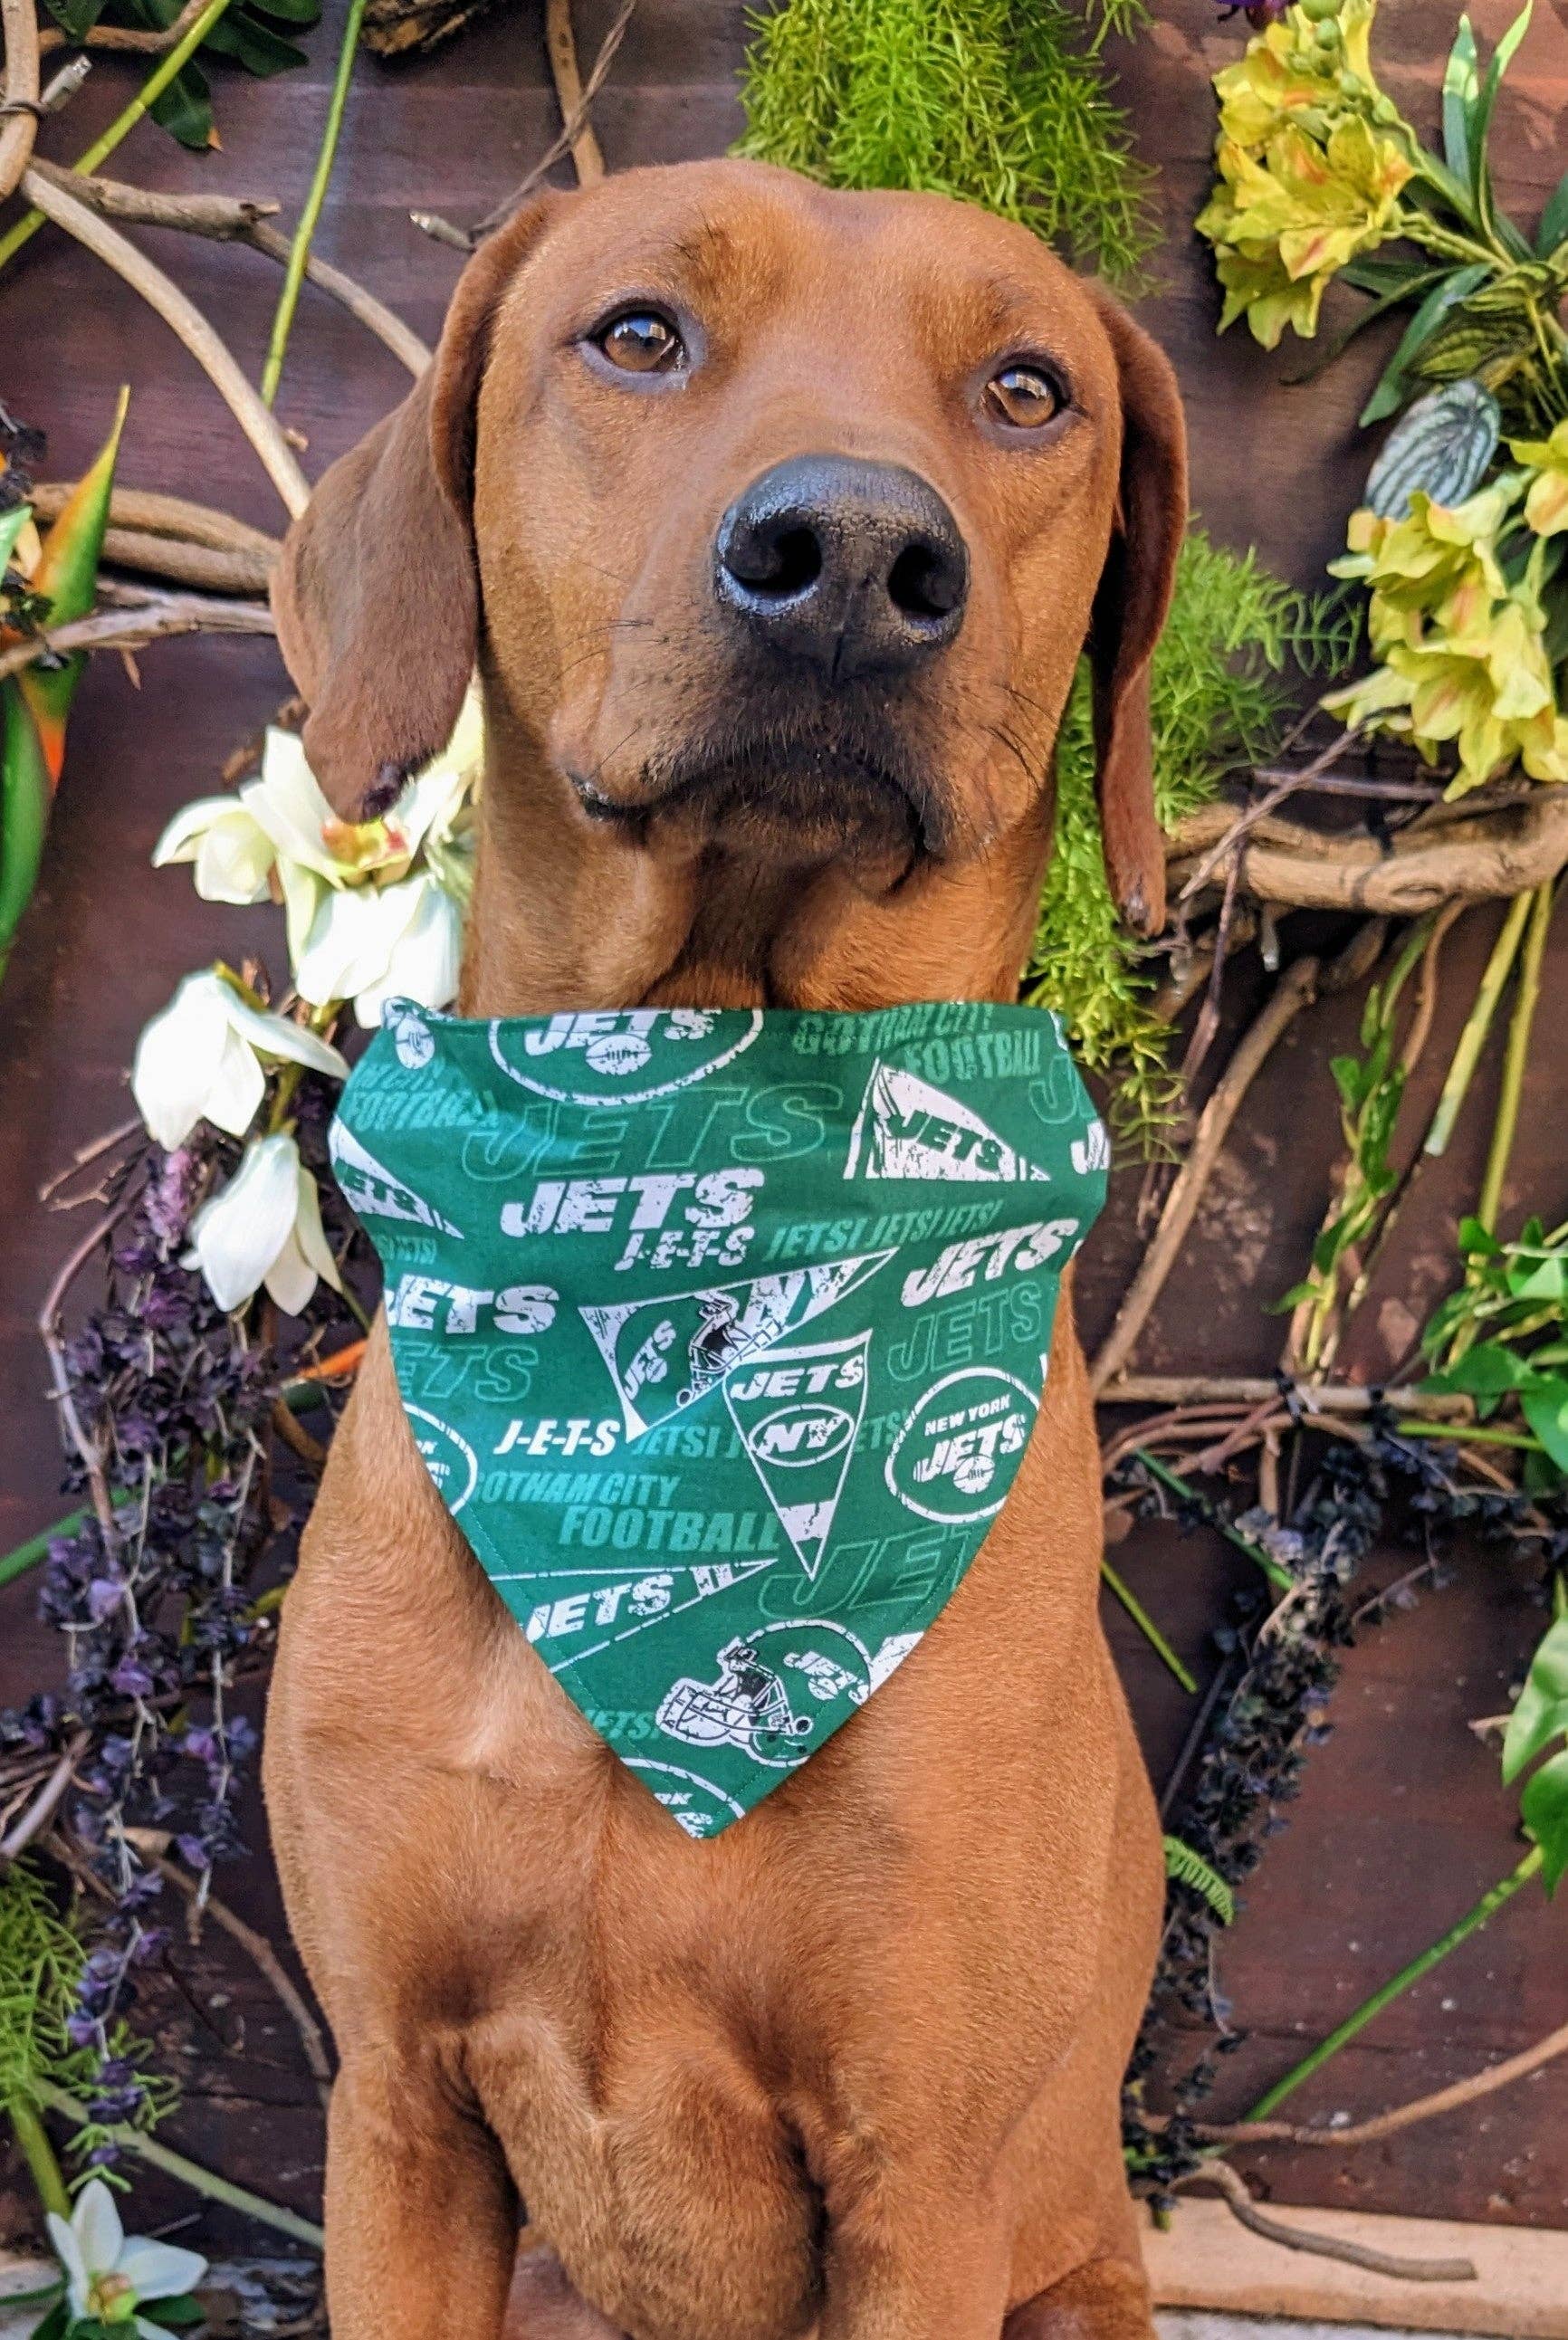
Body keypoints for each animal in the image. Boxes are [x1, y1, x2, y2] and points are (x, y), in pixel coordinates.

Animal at [261, 150, 1193, 2340]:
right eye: (636, 334)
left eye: (1027, 389)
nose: (848, 552)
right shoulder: (395, 2115)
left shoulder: (919, 2185)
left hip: (1073, 2268)